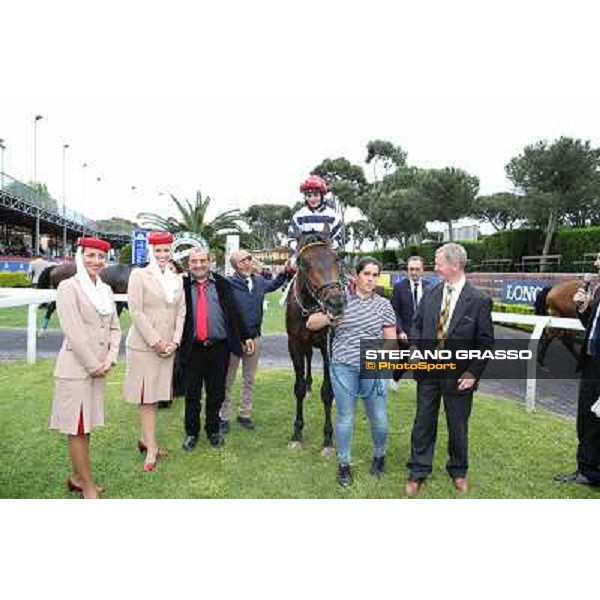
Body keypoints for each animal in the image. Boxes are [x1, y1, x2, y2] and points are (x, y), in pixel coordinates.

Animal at [286, 232, 346, 458]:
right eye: (304, 263)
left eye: (336, 259)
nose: (335, 303)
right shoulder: (294, 344)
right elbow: (299, 388)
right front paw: (296, 434)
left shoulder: (328, 346)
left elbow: (327, 392)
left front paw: (328, 440)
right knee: (309, 359)